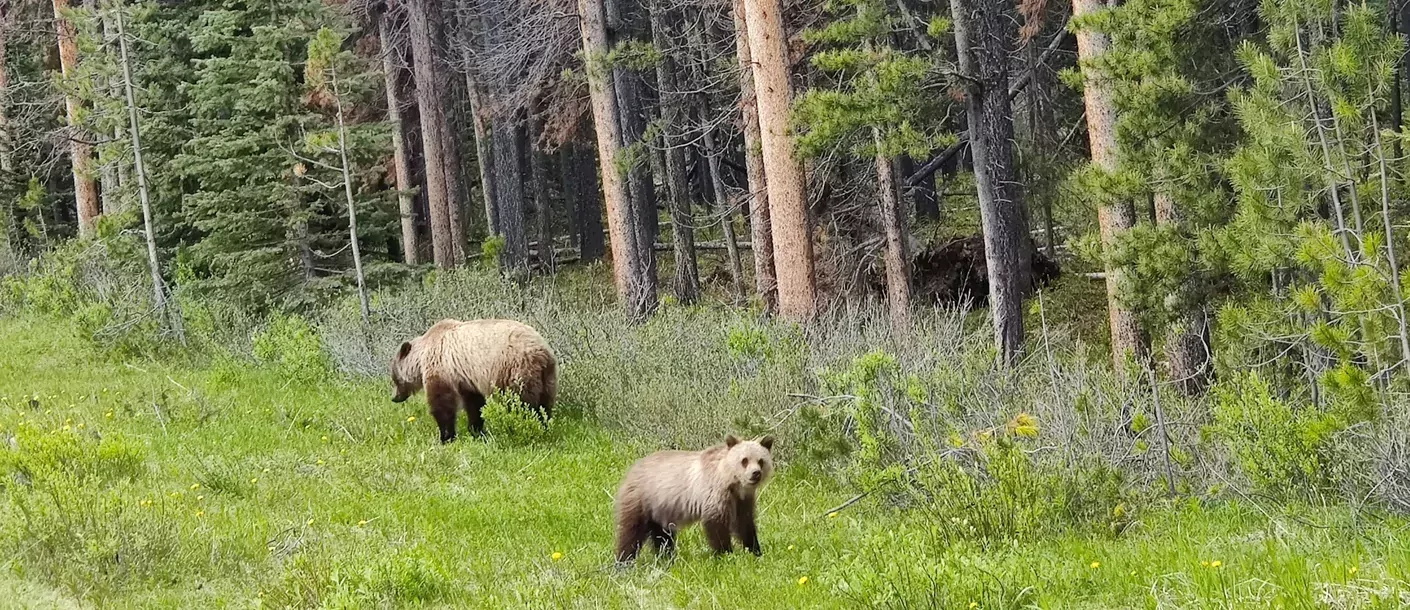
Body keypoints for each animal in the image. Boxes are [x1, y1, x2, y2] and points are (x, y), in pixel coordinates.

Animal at [391, 318, 561, 442]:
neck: (421, 357)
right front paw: (476, 430)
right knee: (545, 404)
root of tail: (541, 353)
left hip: (514, 369)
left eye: (394, 378)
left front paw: (446, 436)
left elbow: (442, 403)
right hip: (548, 377)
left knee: (522, 402)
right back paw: (544, 426)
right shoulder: (466, 377)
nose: (394, 398)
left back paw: (526, 426)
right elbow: (474, 403)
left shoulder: (441, 367)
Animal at [611, 433, 778, 560]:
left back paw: (666, 558)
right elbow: (716, 524)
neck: (731, 481)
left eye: (761, 461)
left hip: (660, 508)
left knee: (662, 535)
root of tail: (633, 468)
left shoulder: (742, 500)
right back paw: (624, 561)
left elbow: (745, 524)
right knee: (631, 532)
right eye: (744, 460)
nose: (755, 473)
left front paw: (755, 551)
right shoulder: (714, 492)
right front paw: (724, 554)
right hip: (642, 498)